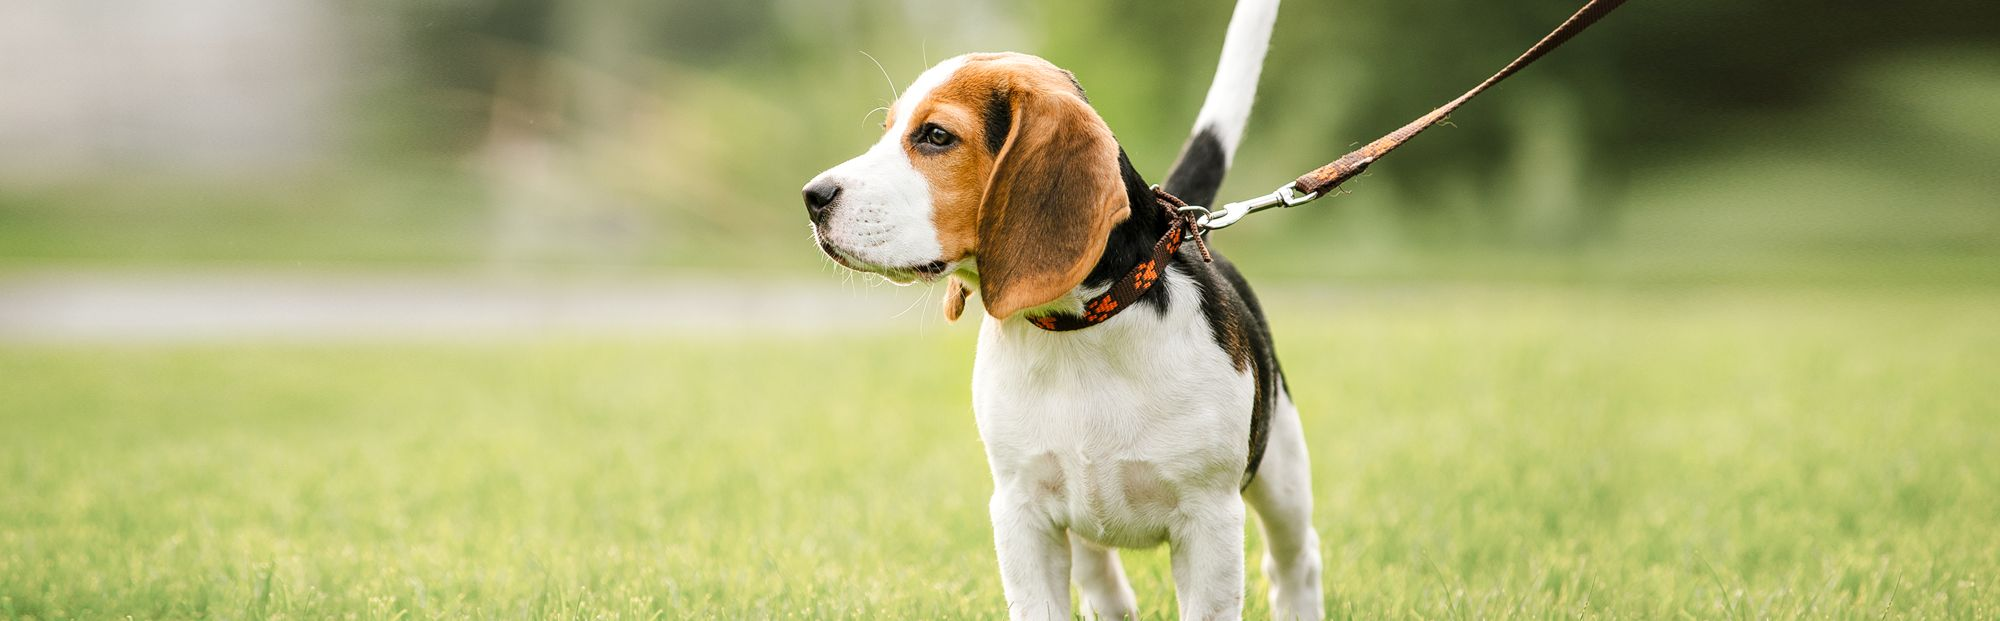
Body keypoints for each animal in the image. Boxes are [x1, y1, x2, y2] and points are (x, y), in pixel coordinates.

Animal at [804, 2, 1320, 616]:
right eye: (888, 131)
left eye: (935, 136)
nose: (812, 197)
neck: (1079, 330)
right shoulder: (1020, 511)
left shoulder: (1209, 521)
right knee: (1102, 577)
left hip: (1281, 471)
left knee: (1294, 562)